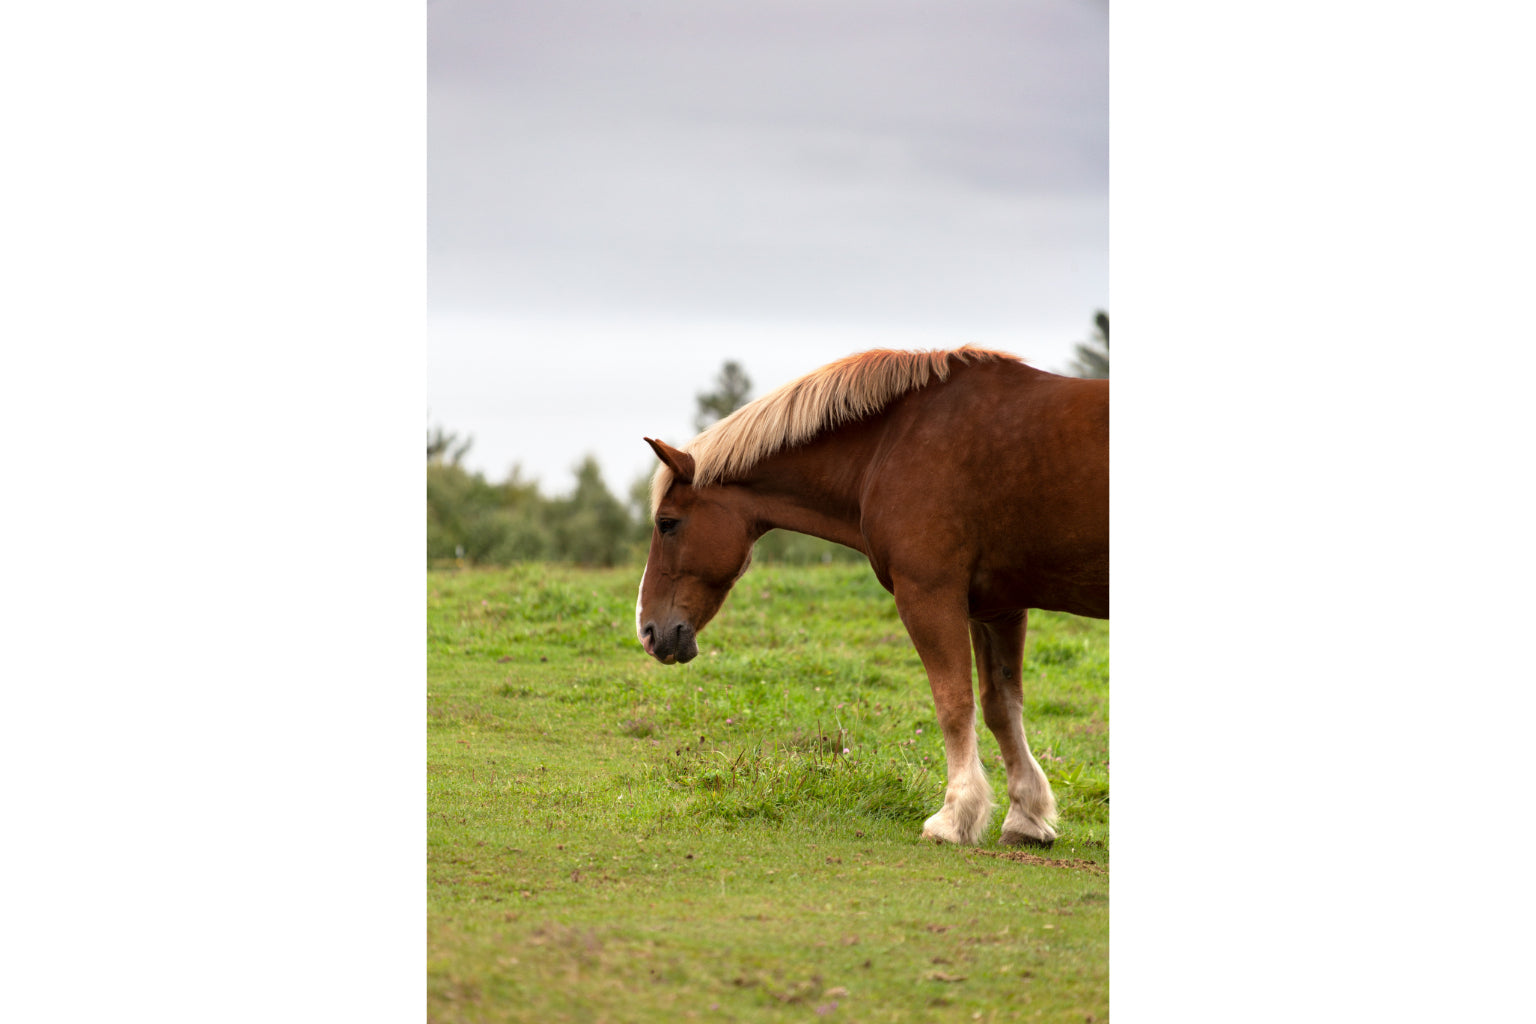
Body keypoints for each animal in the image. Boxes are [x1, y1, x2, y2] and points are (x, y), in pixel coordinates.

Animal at [632, 348, 1105, 847]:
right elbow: (1001, 706)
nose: (647, 630)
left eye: (667, 523)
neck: (892, 444)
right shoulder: (998, 608)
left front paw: (954, 817)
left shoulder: (929, 594)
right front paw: (1025, 818)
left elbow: (954, 704)